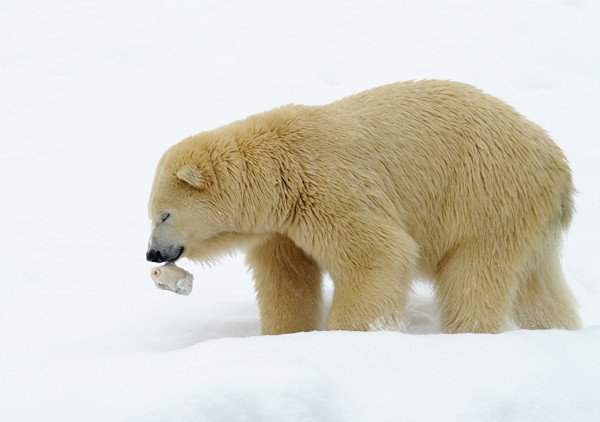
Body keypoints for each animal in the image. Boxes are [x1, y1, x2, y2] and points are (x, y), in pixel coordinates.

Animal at [146, 81, 580, 334]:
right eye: (150, 215)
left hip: (483, 193)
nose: (152, 253)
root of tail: (558, 166)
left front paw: (350, 334)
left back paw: (468, 331)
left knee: (474, 273)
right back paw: (556, 327)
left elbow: (376, 254)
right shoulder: (281, 229)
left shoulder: (329, 190)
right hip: (525, 213)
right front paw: (284, 334)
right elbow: (289, 280)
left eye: (164, 214)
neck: (280, 170)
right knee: (538, 283)